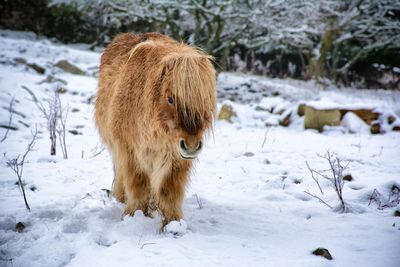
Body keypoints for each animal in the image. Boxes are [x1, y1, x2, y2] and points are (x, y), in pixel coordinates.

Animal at [95, 33, 216, 228]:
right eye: (170, 98)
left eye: (206, 100)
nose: (191, 146)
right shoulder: (130, 152)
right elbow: (138, 187)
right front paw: (134, 215)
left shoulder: (177, 159)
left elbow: (169, 192)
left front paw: (173, 225)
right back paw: (121, 198)